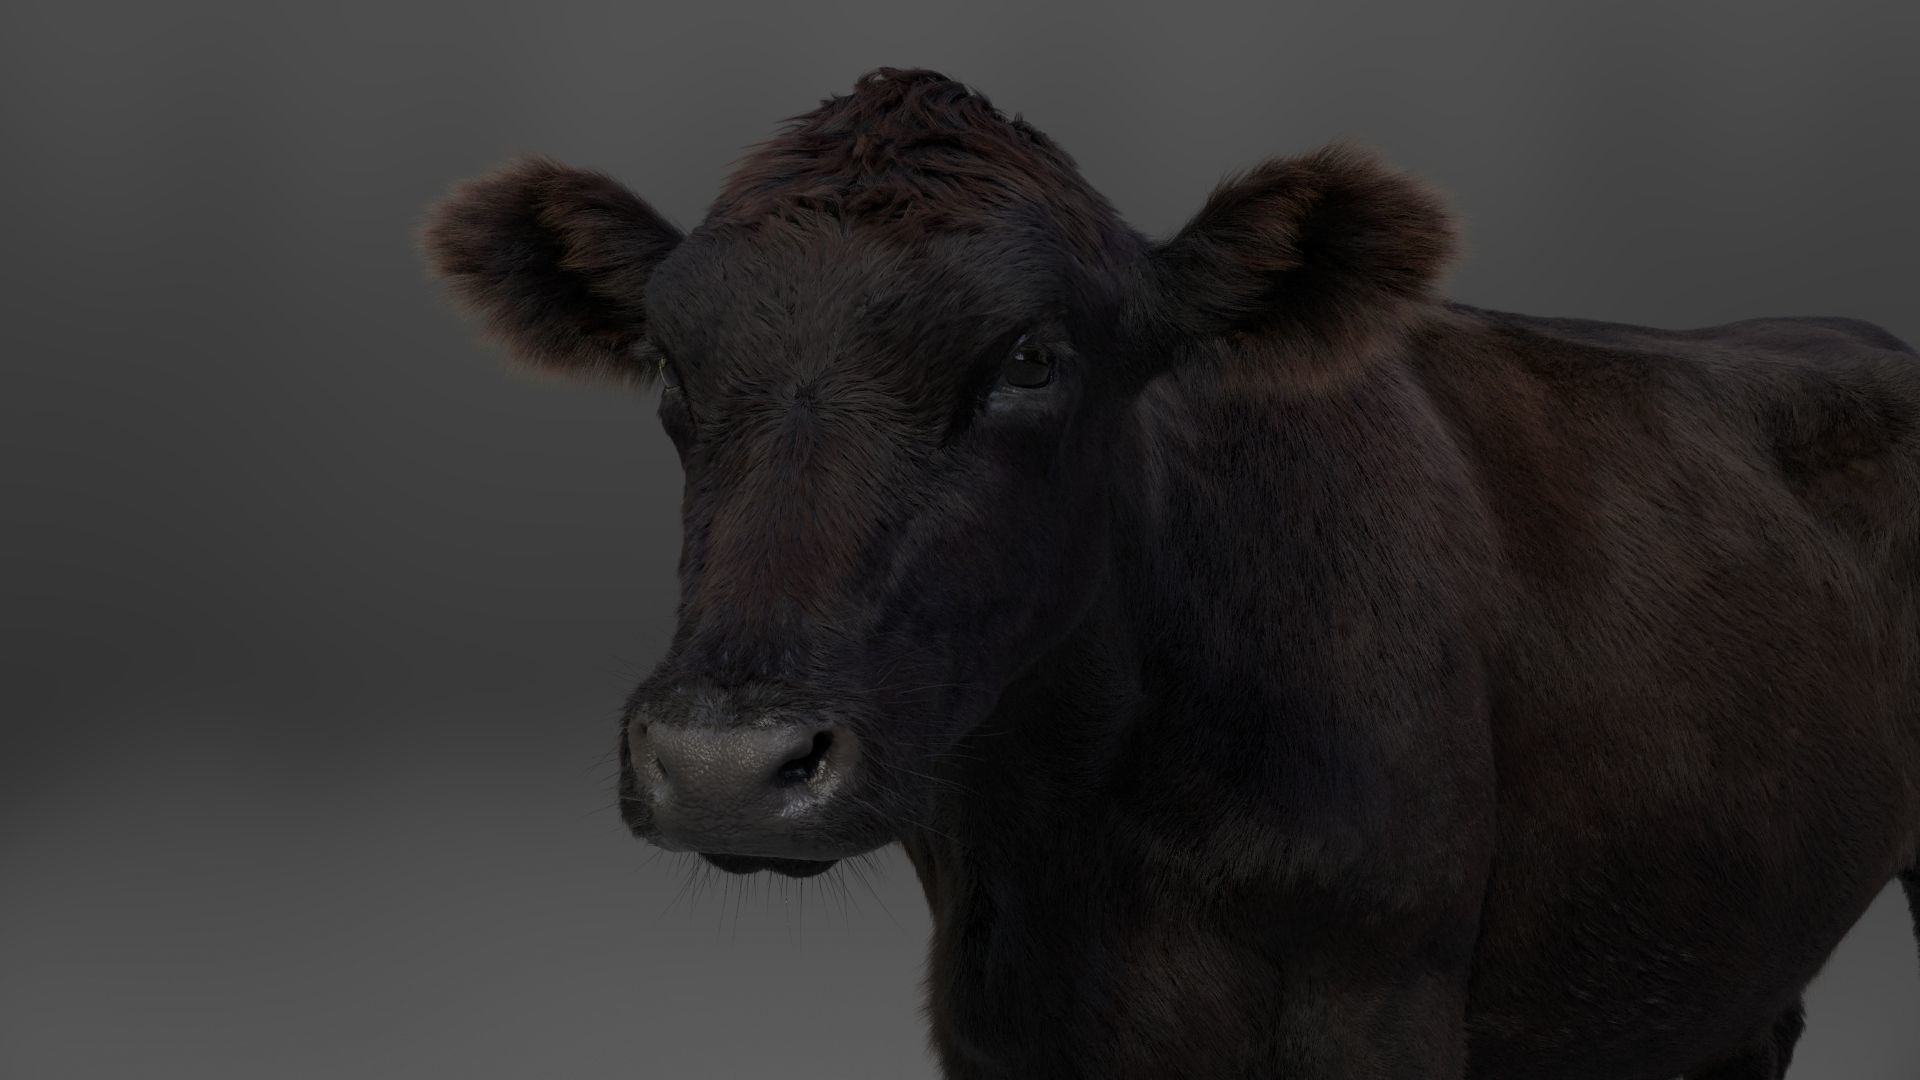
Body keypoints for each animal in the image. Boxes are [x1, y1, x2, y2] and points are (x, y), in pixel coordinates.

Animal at [419, 66, 1920, 1080]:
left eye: (1033, 357)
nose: (725, 763)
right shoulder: (992, 1020)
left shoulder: (1381, 993)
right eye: (672, 365)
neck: (1098, 837)